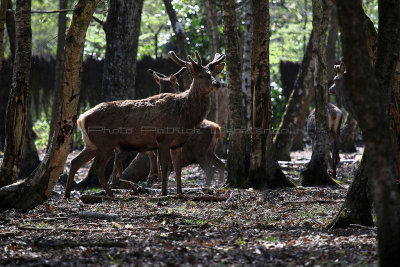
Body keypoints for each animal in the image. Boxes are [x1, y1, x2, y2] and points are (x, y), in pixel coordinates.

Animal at [64, 51, 223, 198]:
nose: (217, 84)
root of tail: (82, 119)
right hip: (105, 143)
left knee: (75, 161)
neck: (184, 115)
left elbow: (177, 168)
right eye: (201, 75)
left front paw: (179, 192)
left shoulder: (177, 143)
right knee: (97, 167)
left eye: (214, 74)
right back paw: (110, 193)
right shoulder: (163, 138)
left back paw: (67, 194)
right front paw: (164, 192)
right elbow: (164, 166)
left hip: (91, 144)